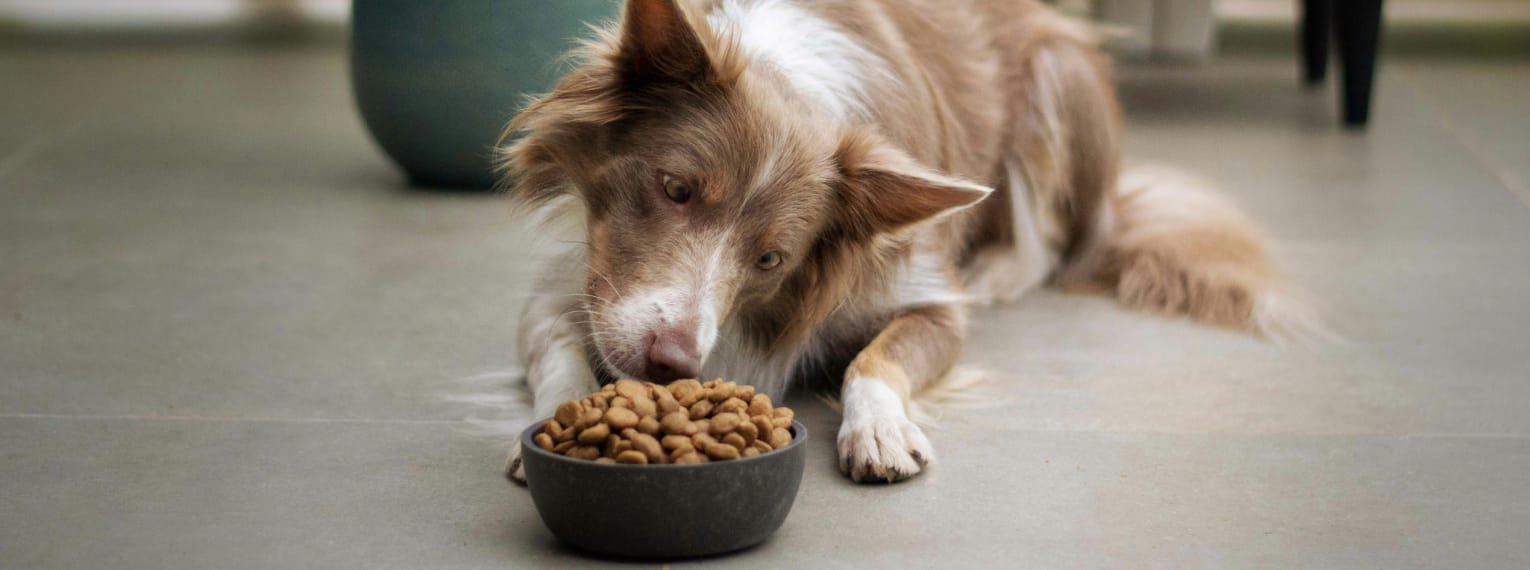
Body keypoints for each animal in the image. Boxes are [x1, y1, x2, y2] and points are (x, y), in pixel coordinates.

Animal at [495, 0, 1309, 482]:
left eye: (770, 260)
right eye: (675, 189)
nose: (672, 365)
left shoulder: (926, 297)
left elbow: (875, 358)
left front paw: (880, 428)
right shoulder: (575, 284)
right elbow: (561, 351)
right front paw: (550, 426)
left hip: (1060, 76)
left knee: (1055, 245)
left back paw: (999, 270)